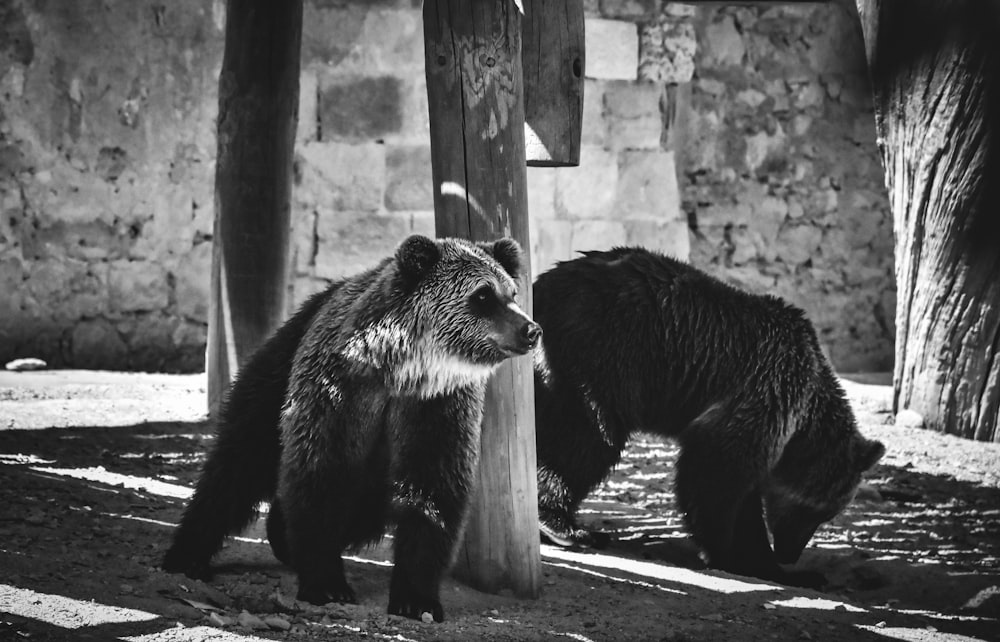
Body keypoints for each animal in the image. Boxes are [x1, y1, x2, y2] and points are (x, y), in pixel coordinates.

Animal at [163, 235, 540, 620]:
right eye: (483, 295)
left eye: (512, 293)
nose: (530, 330)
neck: (401, 372)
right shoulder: (340, 391)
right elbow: (321, 475)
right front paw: (328, 584)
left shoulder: (438, 406)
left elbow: (431, 488)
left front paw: (417, 599)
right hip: (279, 366)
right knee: (238, 459)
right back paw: (188, 554)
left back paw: (279, 530)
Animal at [532, 245, 884, 584]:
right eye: (817, 511)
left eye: (826, 514)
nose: (790, 552)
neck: (804, 422)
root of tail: (540, 287)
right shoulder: (765, 394)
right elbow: (715, 475)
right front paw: (743, 557)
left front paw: (779, 565)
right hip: (601, 352)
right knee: (587, 436)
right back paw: (564, 525)